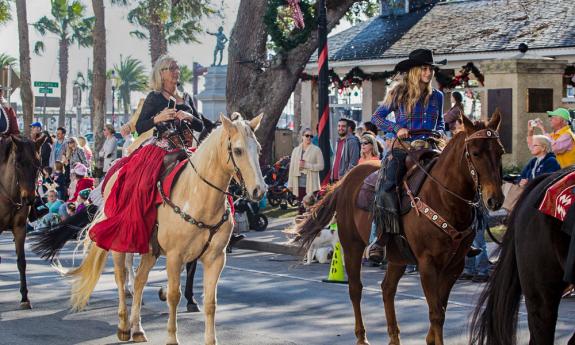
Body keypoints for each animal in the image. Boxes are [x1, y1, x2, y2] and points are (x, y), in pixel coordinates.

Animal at [65, 114, 268, 342]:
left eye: (259, 149)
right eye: (238, 150)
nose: (259, 190)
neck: (198, 195)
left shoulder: (216, 258)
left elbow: (210, 302)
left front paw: (209, 338)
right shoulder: (174, 256)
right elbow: (173, 295)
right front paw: (171, 338)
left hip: (150, 250)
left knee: (140, 281)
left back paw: (138, 328)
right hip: (120, 244)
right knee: (121, 277)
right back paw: (124, 326)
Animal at [292, 113, 504, 344]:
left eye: (500, 151)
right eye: (475, 153)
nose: (495, 199)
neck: (443, 197)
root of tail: (346, 179)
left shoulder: (454, 265)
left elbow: (441, 309)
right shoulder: (427, 264)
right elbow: (436, 313)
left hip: (397, 255)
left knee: (387, 289)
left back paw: (394, 337)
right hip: (352, 246)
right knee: (355, 288)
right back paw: (362, 337)